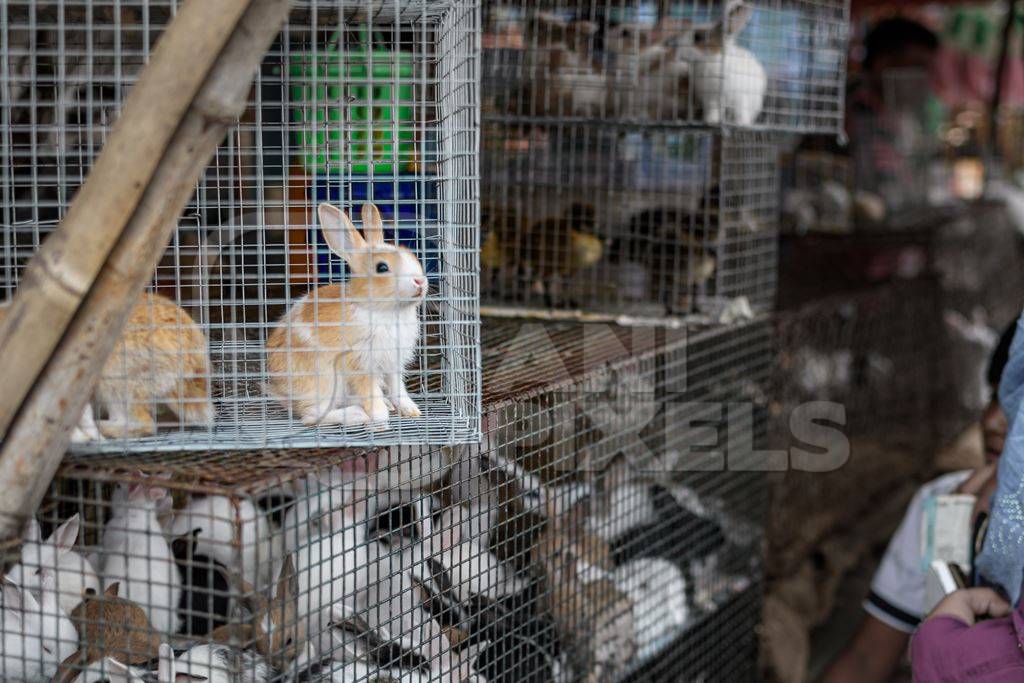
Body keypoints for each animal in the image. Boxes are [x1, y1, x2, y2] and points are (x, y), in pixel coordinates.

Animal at [266, 201, 425, 428]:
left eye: (412, 256)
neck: (382, 310)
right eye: (382, 267)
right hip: (325, 382)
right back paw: (359, 414)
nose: (420, 282)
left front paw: (411, 410)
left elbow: (398, 388)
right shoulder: (360, 364)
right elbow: (371, 394)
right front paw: (380, 420)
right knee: (312, 416)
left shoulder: (393, 363)